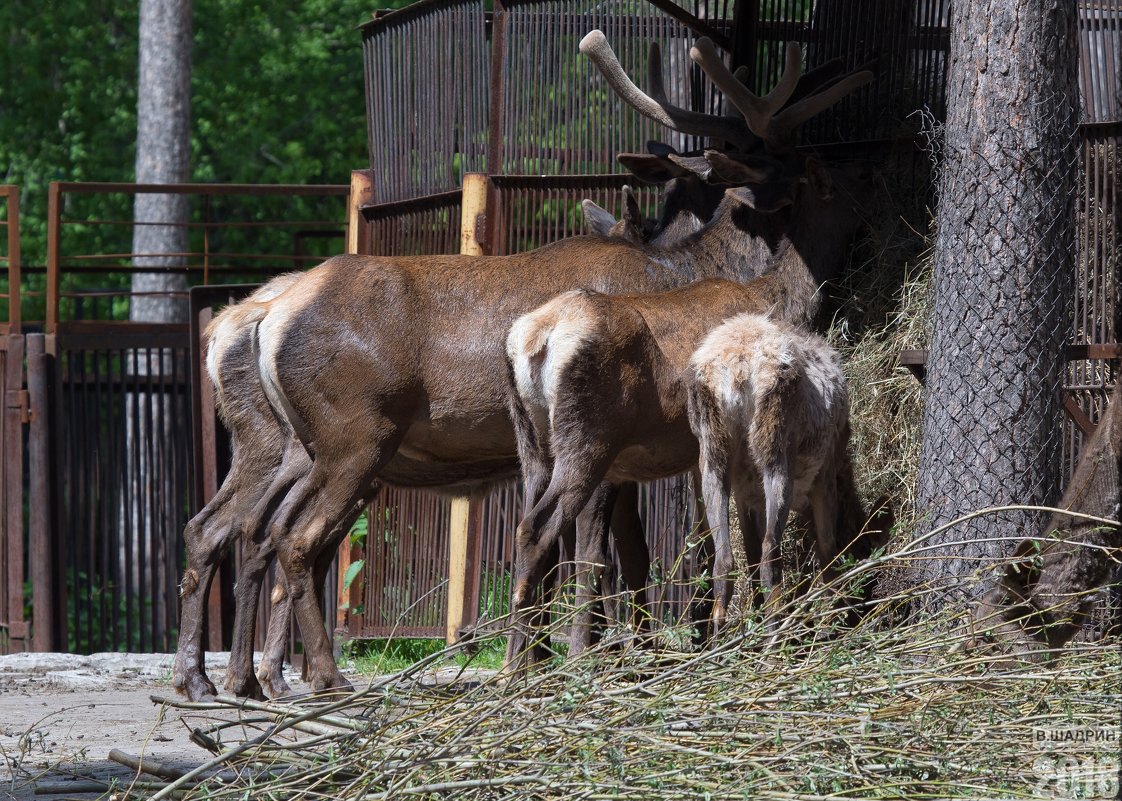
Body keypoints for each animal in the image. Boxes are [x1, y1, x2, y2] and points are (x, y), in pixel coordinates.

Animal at [175, 31, 870, 691]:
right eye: (801, 162)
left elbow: (613, 553)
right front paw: (595, 650)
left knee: (235, 529)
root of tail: (264, 320)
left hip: (302, 446)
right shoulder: (608, 448)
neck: (688, 268)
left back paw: (225, 677)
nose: (860, 166)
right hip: (352, 435)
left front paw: (568, 652)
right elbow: (604, 554)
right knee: (286, 537)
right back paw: (311, 675)